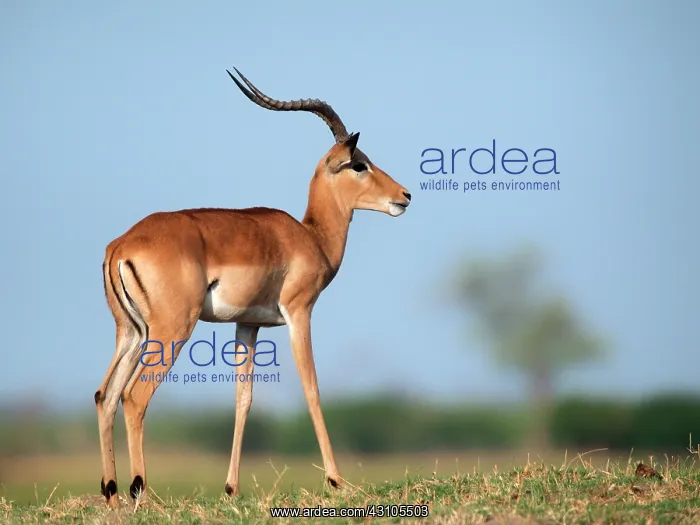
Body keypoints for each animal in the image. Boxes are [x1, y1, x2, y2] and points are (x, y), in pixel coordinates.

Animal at [94, 67, 411, 507]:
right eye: (359, 164)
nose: (404, 196)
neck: (311, 237)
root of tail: (121, 244)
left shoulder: (247, 325)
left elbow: (243, 399)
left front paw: (232, 488)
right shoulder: (299, 313)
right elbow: (311, 388)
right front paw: (337, 481)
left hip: (132, 332)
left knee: (105, 395)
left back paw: (111, 493)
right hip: (172, 329)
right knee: (134, 396)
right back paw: (140, 491)